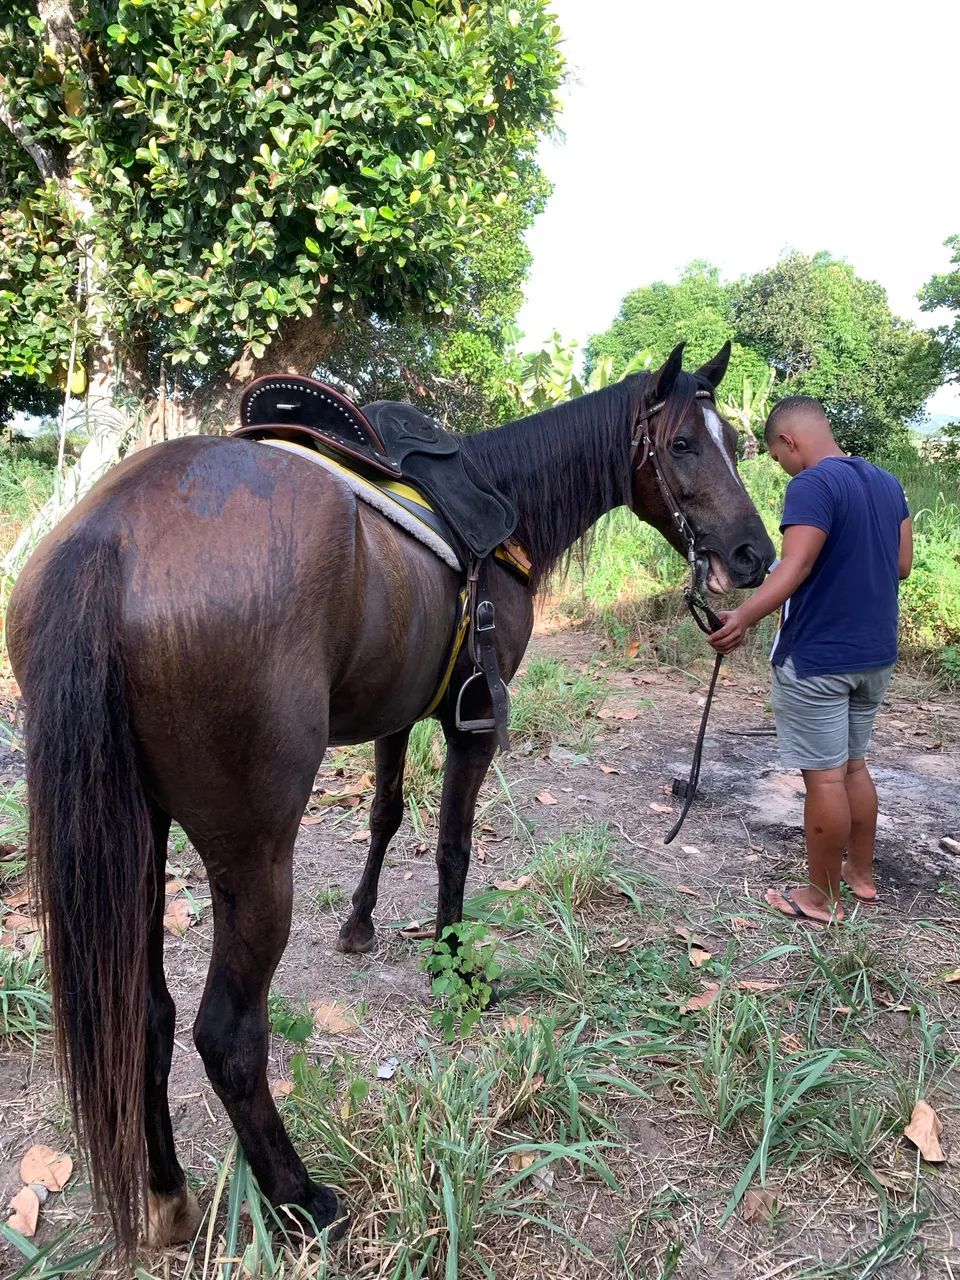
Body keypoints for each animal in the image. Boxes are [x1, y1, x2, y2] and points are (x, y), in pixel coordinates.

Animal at [6, 341, 775, 1253]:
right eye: (685, 444)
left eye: (739, 441)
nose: (755, 556)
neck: (508, 505)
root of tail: (109, 538)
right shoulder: (474, 722)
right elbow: (452, 846)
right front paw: (456, 965)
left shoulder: (397, 711)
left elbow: (385, 815)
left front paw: (361, 925)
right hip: (252, 855)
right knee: (226, 1036)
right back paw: (299, 1198)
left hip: (138, 834)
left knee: (145, 1018)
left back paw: (167, 1196)